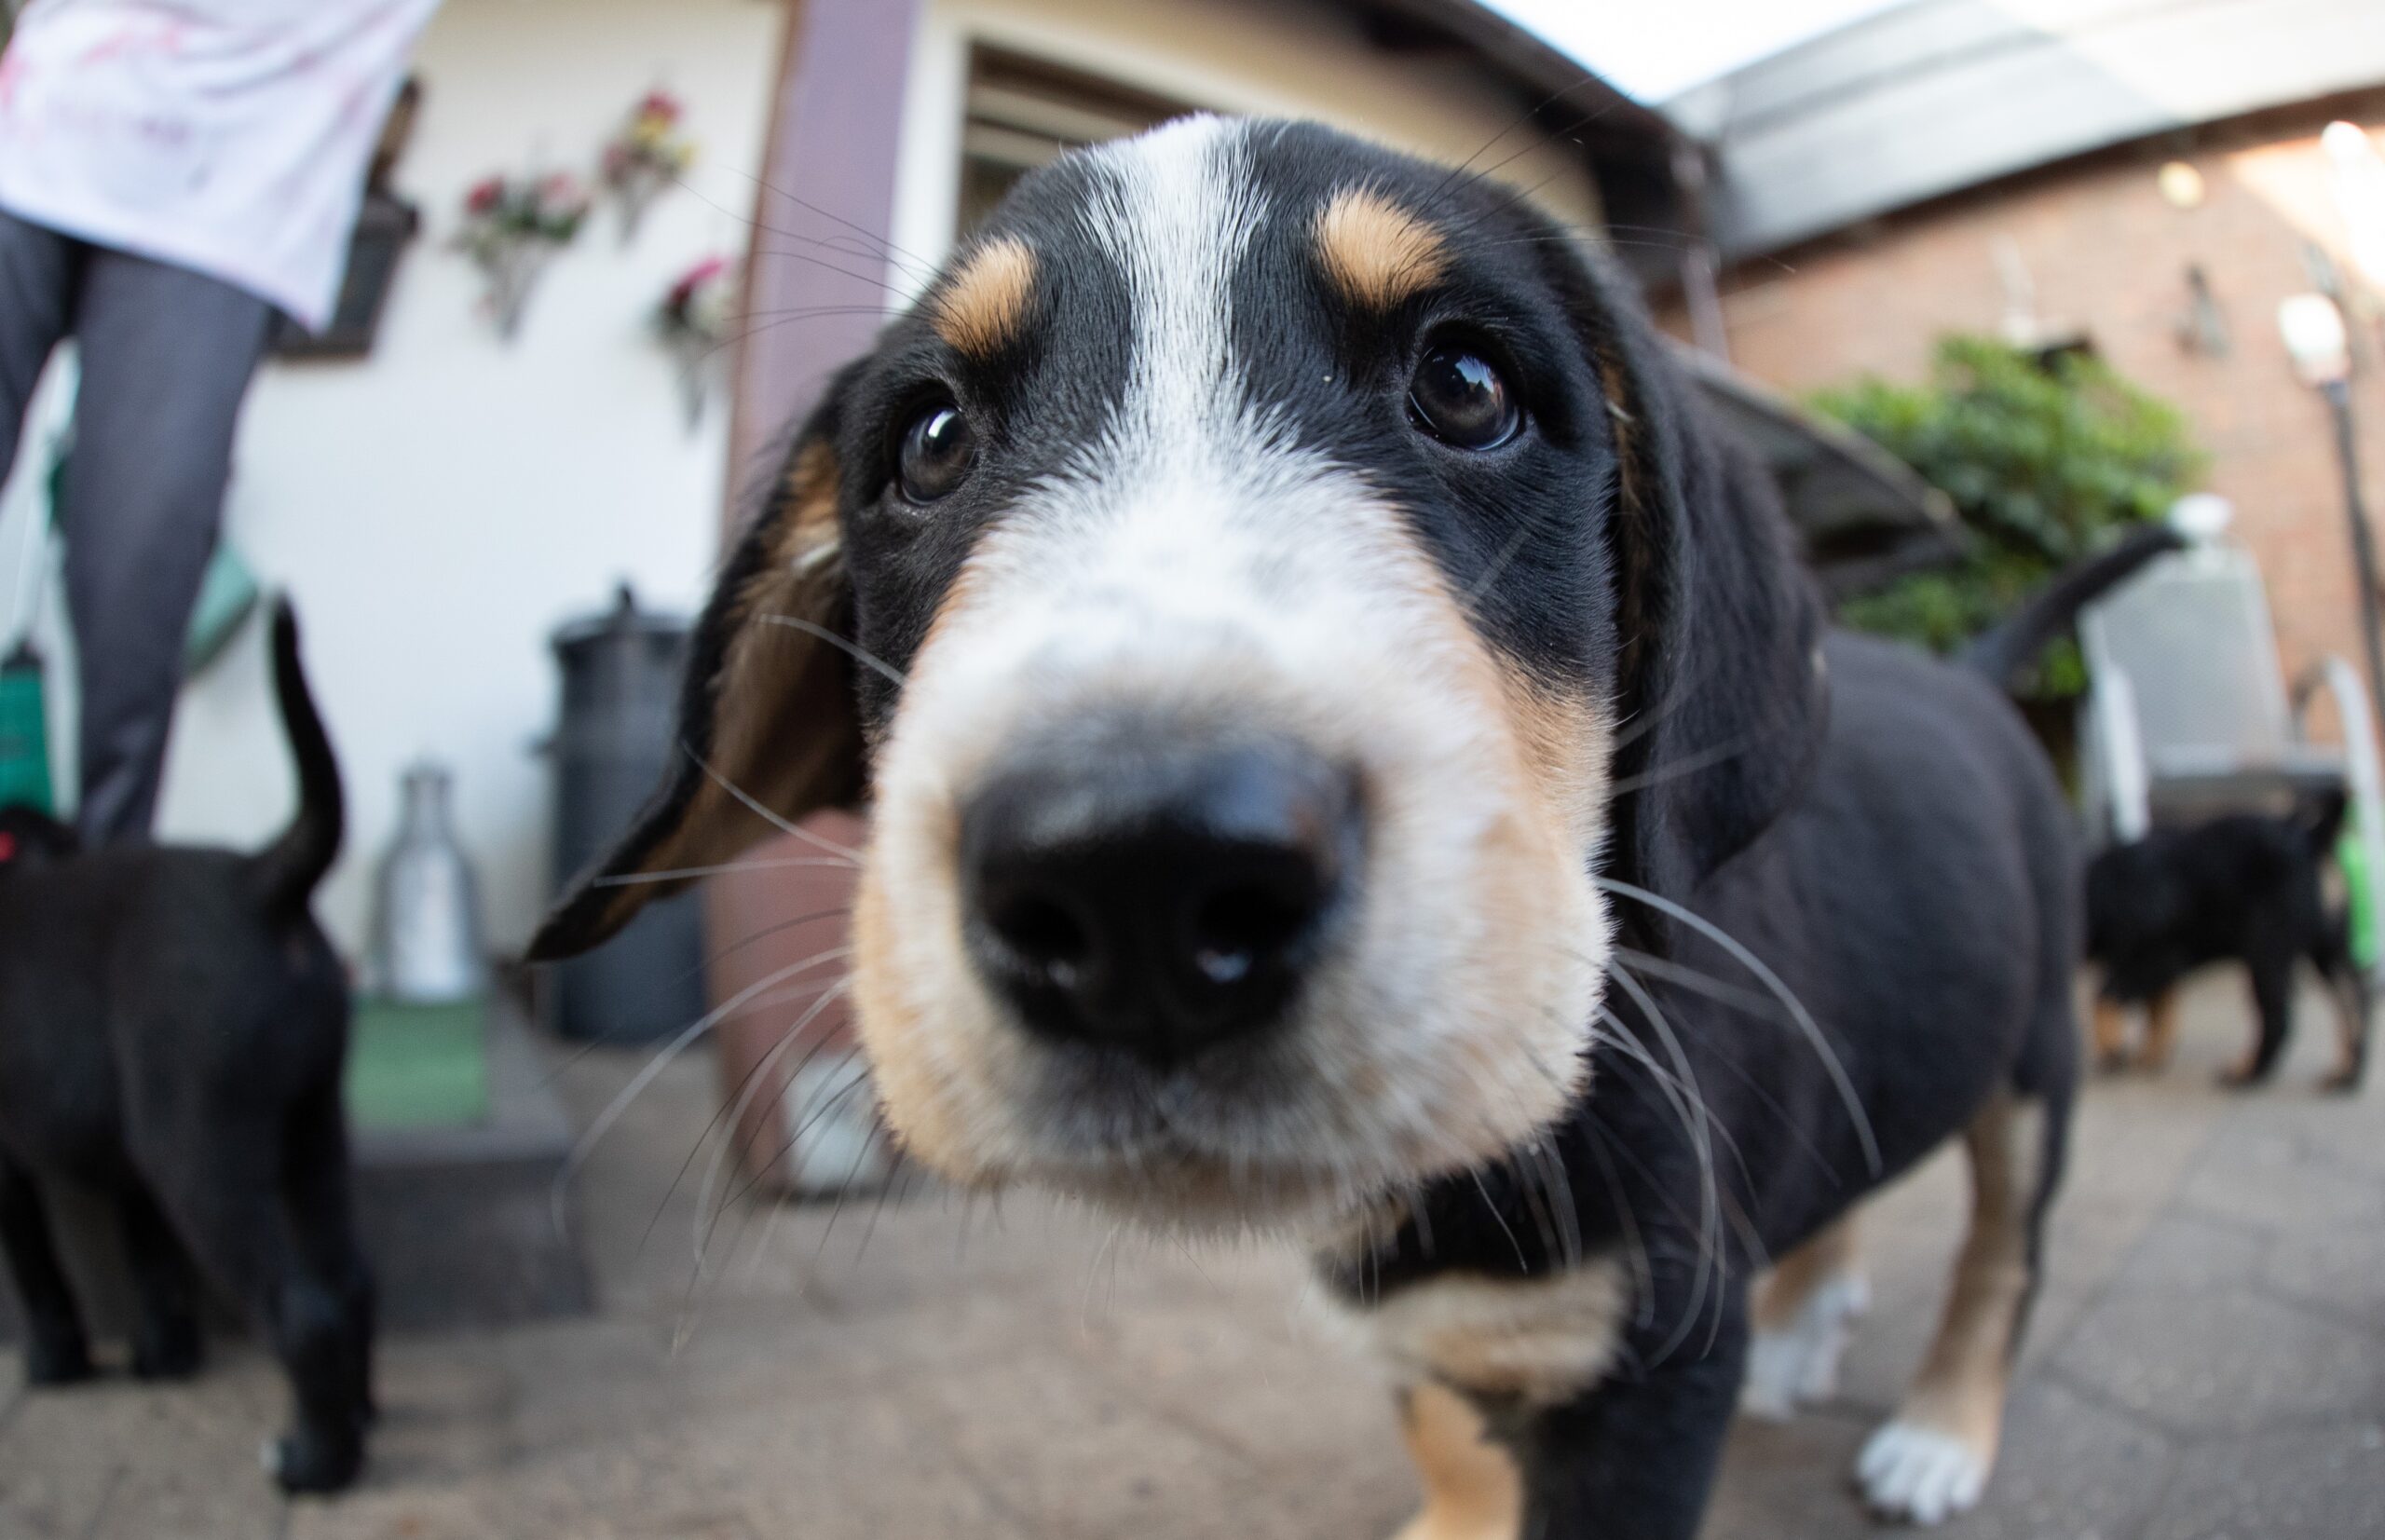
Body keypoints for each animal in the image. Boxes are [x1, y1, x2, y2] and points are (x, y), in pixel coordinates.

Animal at [0, 603, 372, 1496]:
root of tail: (263, 880)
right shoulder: (131, 1163)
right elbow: (153, 1262)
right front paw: (164, 1357)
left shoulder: (10, 1163)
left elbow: (37, 1269)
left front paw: (56, 1363)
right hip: (310, 1125)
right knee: (348, 1280)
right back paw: (359, 1418)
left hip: (198, 1151)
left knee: (303, 1311)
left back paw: (315, 1462)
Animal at [2089, 796, 2365, 1097]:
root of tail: (2308, 838)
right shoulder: (2158, 965)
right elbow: (2159, 1008)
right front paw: (2151, 1054)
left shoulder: (2154, 957)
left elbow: (2107, 995)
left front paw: (2113, 1048)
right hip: (2320, 942)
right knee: (2351, 997)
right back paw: (2346, 1072)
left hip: (2266, 946)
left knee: (2278, 1016)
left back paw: (2247, 1073)